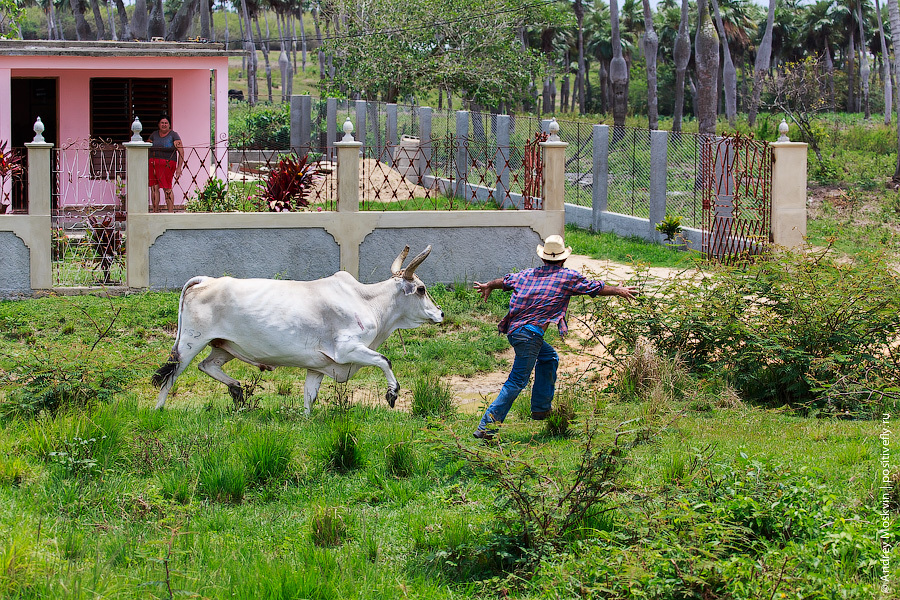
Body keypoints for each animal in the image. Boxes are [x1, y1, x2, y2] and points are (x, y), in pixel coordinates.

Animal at [153, 245, 444, 412]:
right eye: (421, 289)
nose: (440, 313)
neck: (367, 301)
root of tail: (207, 281)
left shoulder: (318, 366)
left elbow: (309, 398)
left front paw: (306, 419)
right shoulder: (348, 350)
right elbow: (385, 361)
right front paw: (392, 394)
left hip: (224, 346)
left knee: (207, 365)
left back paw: (237, 390)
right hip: (191, 342)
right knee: (171, 375)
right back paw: (158, 410)